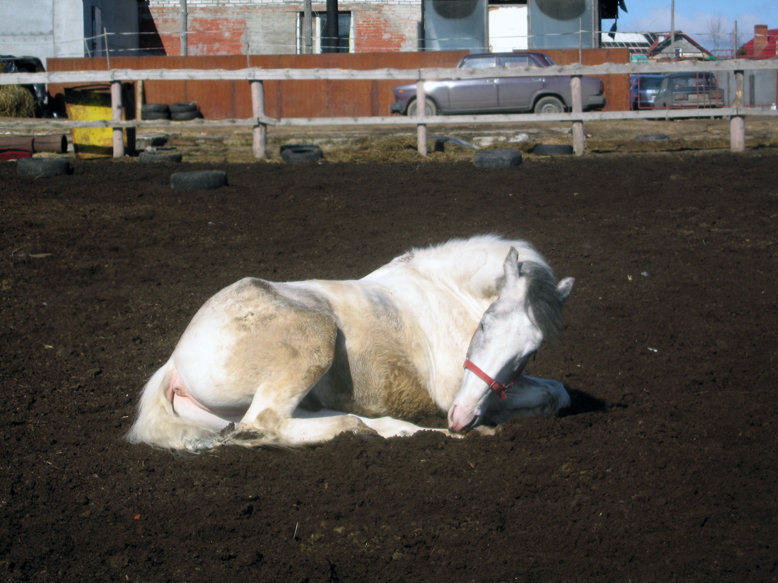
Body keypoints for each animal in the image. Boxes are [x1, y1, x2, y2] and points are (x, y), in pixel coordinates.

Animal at [127, 234, 572, 452]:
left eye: (530, 352)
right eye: (485, 325)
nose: (461, 420)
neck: (449, 293)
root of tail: (175, 361)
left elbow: (559, 392)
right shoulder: (453, 392)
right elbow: (549, 395)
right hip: (315, 339)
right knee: (264, 424)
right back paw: (366, 430)